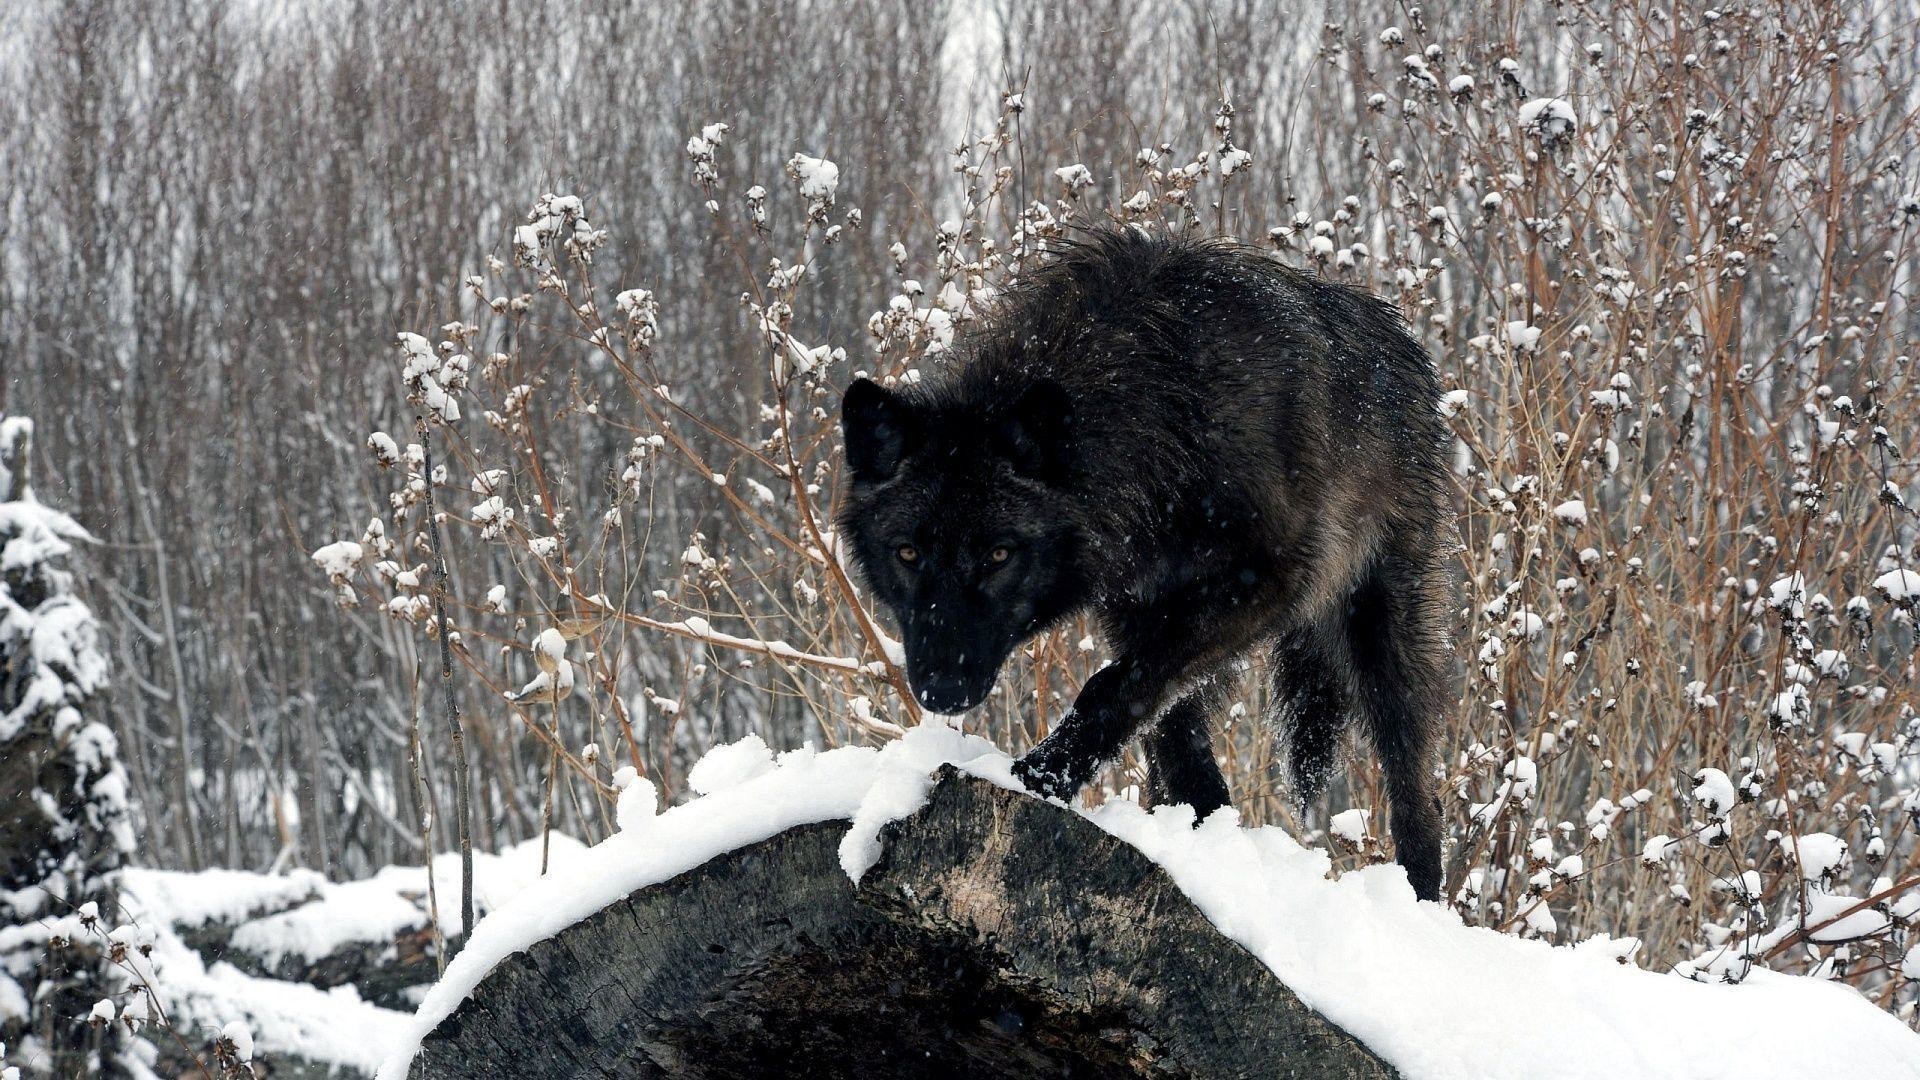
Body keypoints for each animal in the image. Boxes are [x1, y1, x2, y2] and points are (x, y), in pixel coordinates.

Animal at [837, 227, 1455, 901]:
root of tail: (1404, 342)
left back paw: (1420, 901)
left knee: (1415, 783)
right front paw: (1201, 837)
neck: (1163, 405)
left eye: (999, 554)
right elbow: (1166, 728)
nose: (942, 688)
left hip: (1379, 632)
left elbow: (1113, 687)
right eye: (907, 552)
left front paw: (1041, 775)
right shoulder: (1137, 609)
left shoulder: (1264, 585)